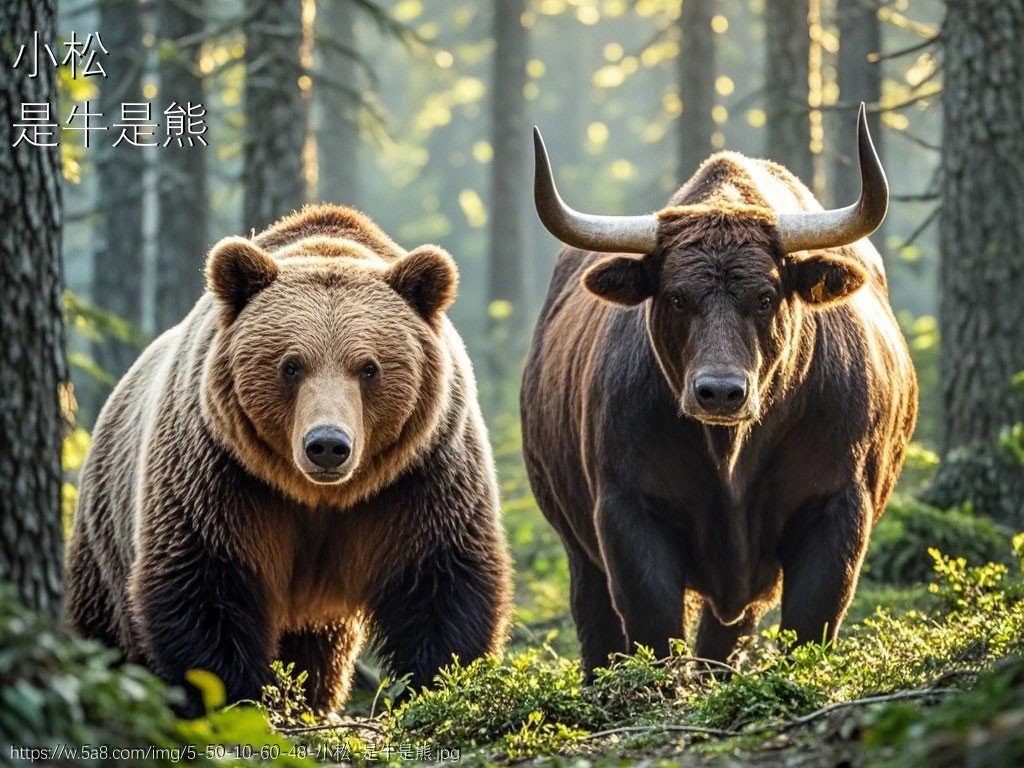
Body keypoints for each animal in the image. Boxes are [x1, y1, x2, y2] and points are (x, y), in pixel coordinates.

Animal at [66, 202, 512, 716]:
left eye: (369, 368)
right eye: (291, 365)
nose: (328, 444)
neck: (317, 495)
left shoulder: (421, 474)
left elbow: (440, 584)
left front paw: (436, 687)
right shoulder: (220, 473)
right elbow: (205, 585)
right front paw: (236, 697)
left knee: (321, 650)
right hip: (105, 536)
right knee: (106, 634)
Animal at [524, 107, 917, 671]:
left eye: (766, 296)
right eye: (676, 296)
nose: (720, 392)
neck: (731, 455)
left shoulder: (838, 507)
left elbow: (811, 621)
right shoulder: (626, 512)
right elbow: (653, 630)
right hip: (577, 546)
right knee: (598, 631)